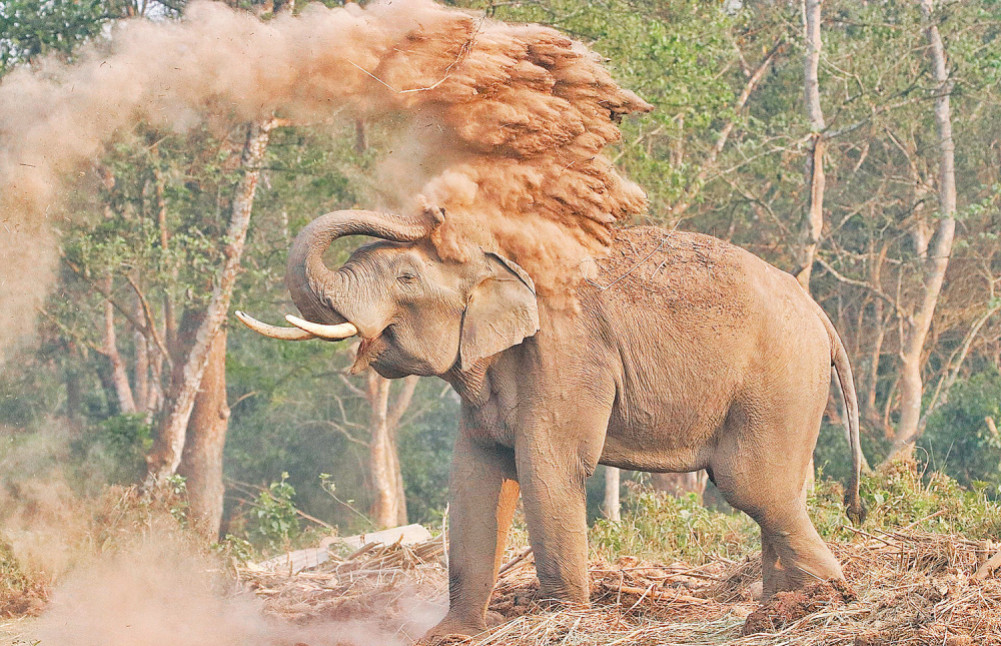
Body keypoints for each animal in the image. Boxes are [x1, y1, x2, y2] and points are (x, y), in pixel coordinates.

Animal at [238, 208, 864, 640]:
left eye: (407, 277)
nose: (432, 211)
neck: (503, 258)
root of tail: (820, 314)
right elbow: (476, 478)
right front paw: (451, 634)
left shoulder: (567, 352)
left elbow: (547, 466)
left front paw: (563, 623)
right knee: (780, 492)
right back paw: (781, 607)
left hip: (777, 381)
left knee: (755, 487)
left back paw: (834, 598)